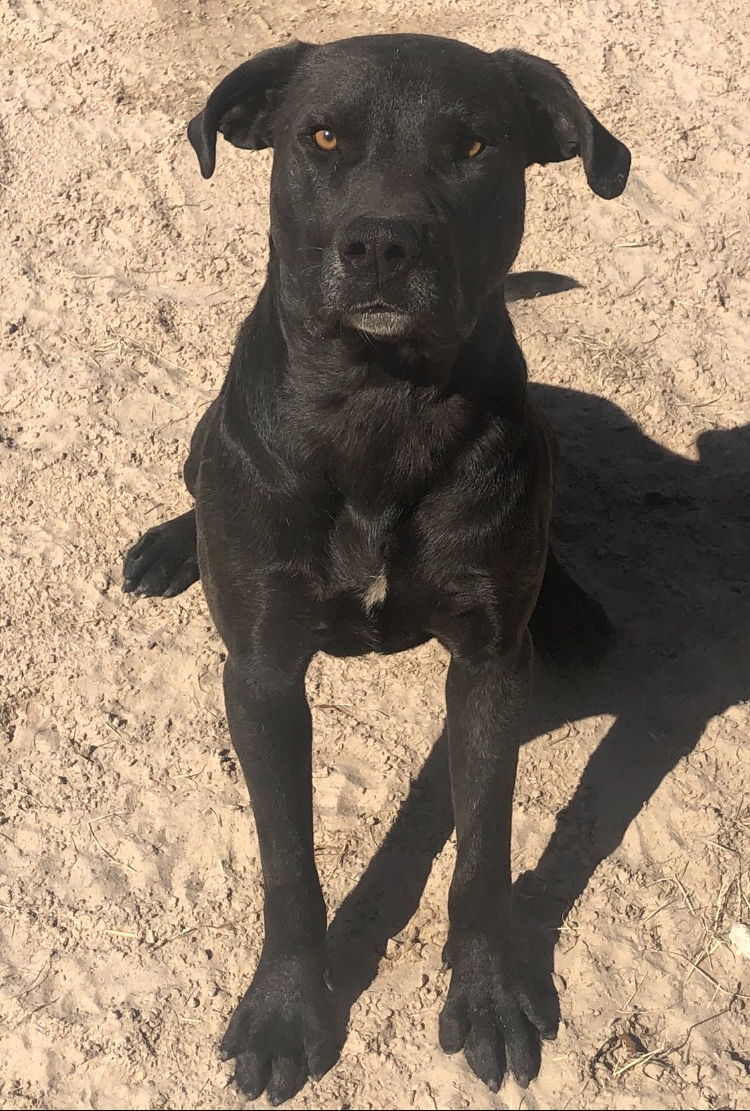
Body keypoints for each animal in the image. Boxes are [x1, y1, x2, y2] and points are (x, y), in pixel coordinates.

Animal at [123, 34, 626, 1102]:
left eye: (474, 145)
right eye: (321, 138)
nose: (384, 245)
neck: (380, 410)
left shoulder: (487, 667)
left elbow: (482, 845)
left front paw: (490, 992)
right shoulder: (262, 674)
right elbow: (287, 860)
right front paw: (286, 1008)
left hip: (545, 454)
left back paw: (568, 606)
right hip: (207, 444)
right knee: (198, 475)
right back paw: (172, 544)